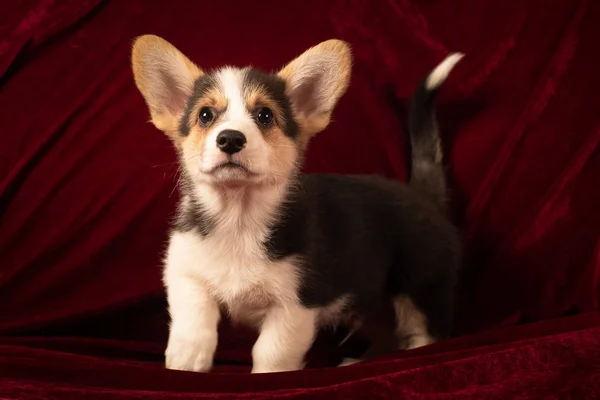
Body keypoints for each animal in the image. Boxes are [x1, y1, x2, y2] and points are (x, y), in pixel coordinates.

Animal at [131, 36, 464, 374]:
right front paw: (185, 362)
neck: (238, 216)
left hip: (421, 290)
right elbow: (193, 322)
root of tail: (424, 195)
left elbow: (271, 354)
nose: (230, 139)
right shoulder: (185, 272)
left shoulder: (294, 306)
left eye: (265, 115)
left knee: (422, 336)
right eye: (205, 115)